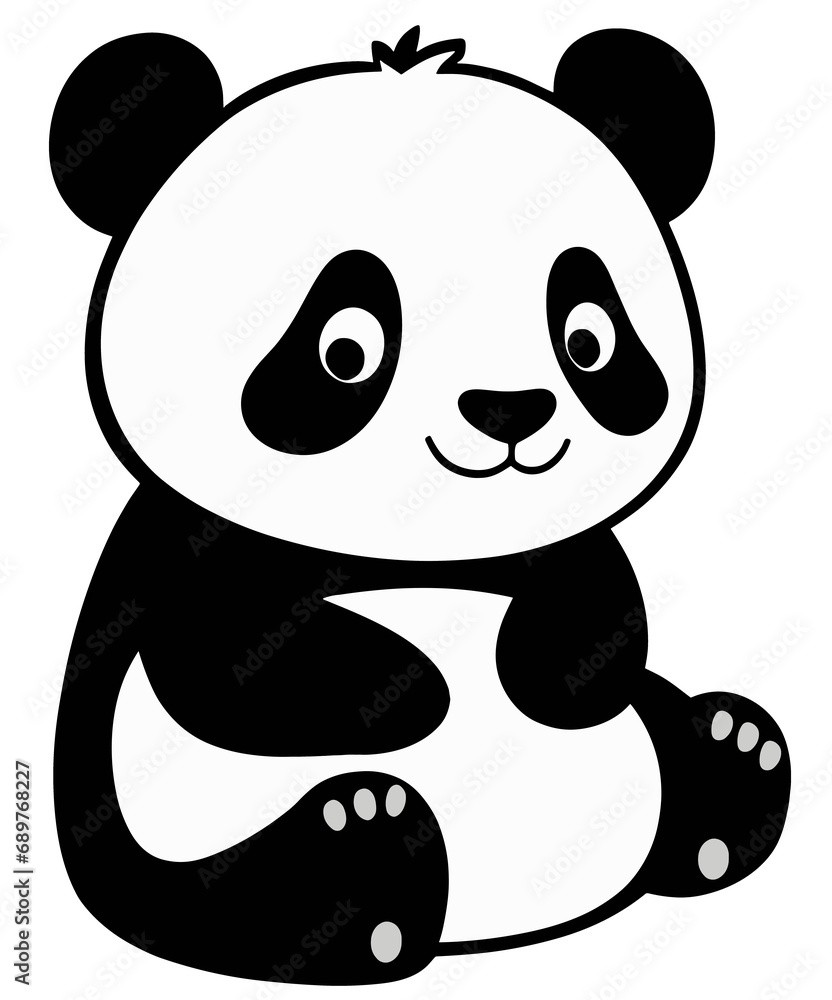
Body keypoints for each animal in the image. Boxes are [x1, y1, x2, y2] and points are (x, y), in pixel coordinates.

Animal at [51, 26, 790, 987]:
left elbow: (602, 608)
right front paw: (413, 688)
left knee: (688, 740)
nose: (510, 409)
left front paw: (537, 672)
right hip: (163, 851)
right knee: (242, 889)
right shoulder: (181, 545)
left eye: (588, 337)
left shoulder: (552, 548)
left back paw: (732, 763)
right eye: (345, 348)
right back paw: (365, 871)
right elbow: (223, 648)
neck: (420, 544)